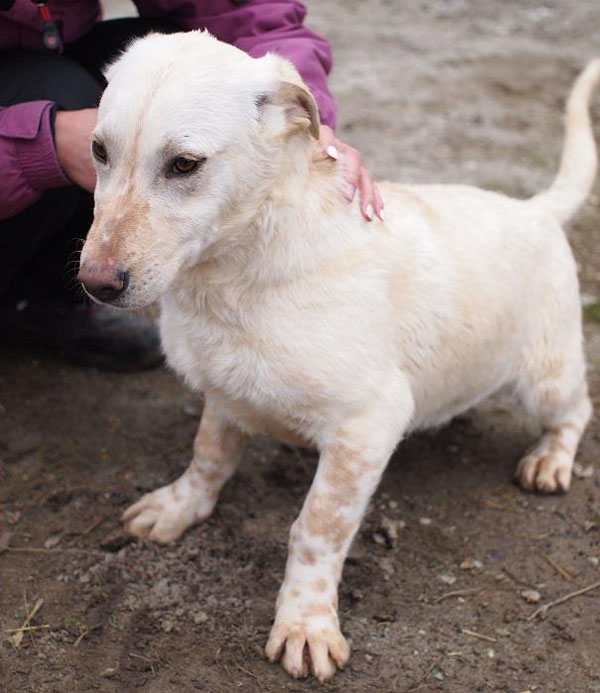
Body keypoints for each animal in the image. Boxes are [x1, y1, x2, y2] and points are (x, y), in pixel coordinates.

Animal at [79, 31, 600, 676]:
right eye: (98, 150)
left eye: (184, 164)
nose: (94, 284)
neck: (234, 276)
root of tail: (535, 209)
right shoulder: (225, 395)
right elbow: (207, 458)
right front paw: (178, 507)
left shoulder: (366, 426)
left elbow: (316, 527)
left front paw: (305, 624)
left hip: (544, 379)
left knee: (578, 409)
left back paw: (550, 460)